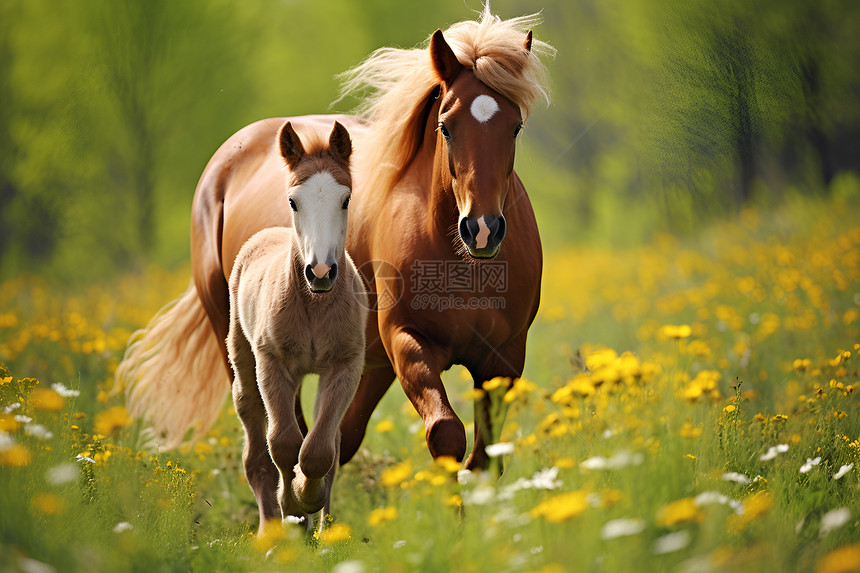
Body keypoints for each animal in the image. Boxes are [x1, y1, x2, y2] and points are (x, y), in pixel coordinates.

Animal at [117, 7, 552, 474]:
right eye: (446, 127)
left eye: (515, 127)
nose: (482, 228)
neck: (460, 264)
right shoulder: (408, 341)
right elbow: (446, 434)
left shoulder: (504, 358)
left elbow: (484, 457)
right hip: (237, 338)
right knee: (274, 440)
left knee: (337, 437)